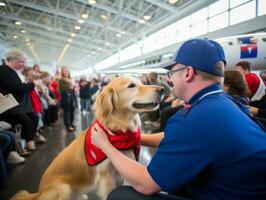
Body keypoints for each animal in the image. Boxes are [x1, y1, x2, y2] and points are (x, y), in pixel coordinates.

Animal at [10, 76, 164, 200]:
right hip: (63, 188)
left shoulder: (121, 171)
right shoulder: (107, 176)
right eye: (131, 86)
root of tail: (39, 192)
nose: (162, 89)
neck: (118, 131)